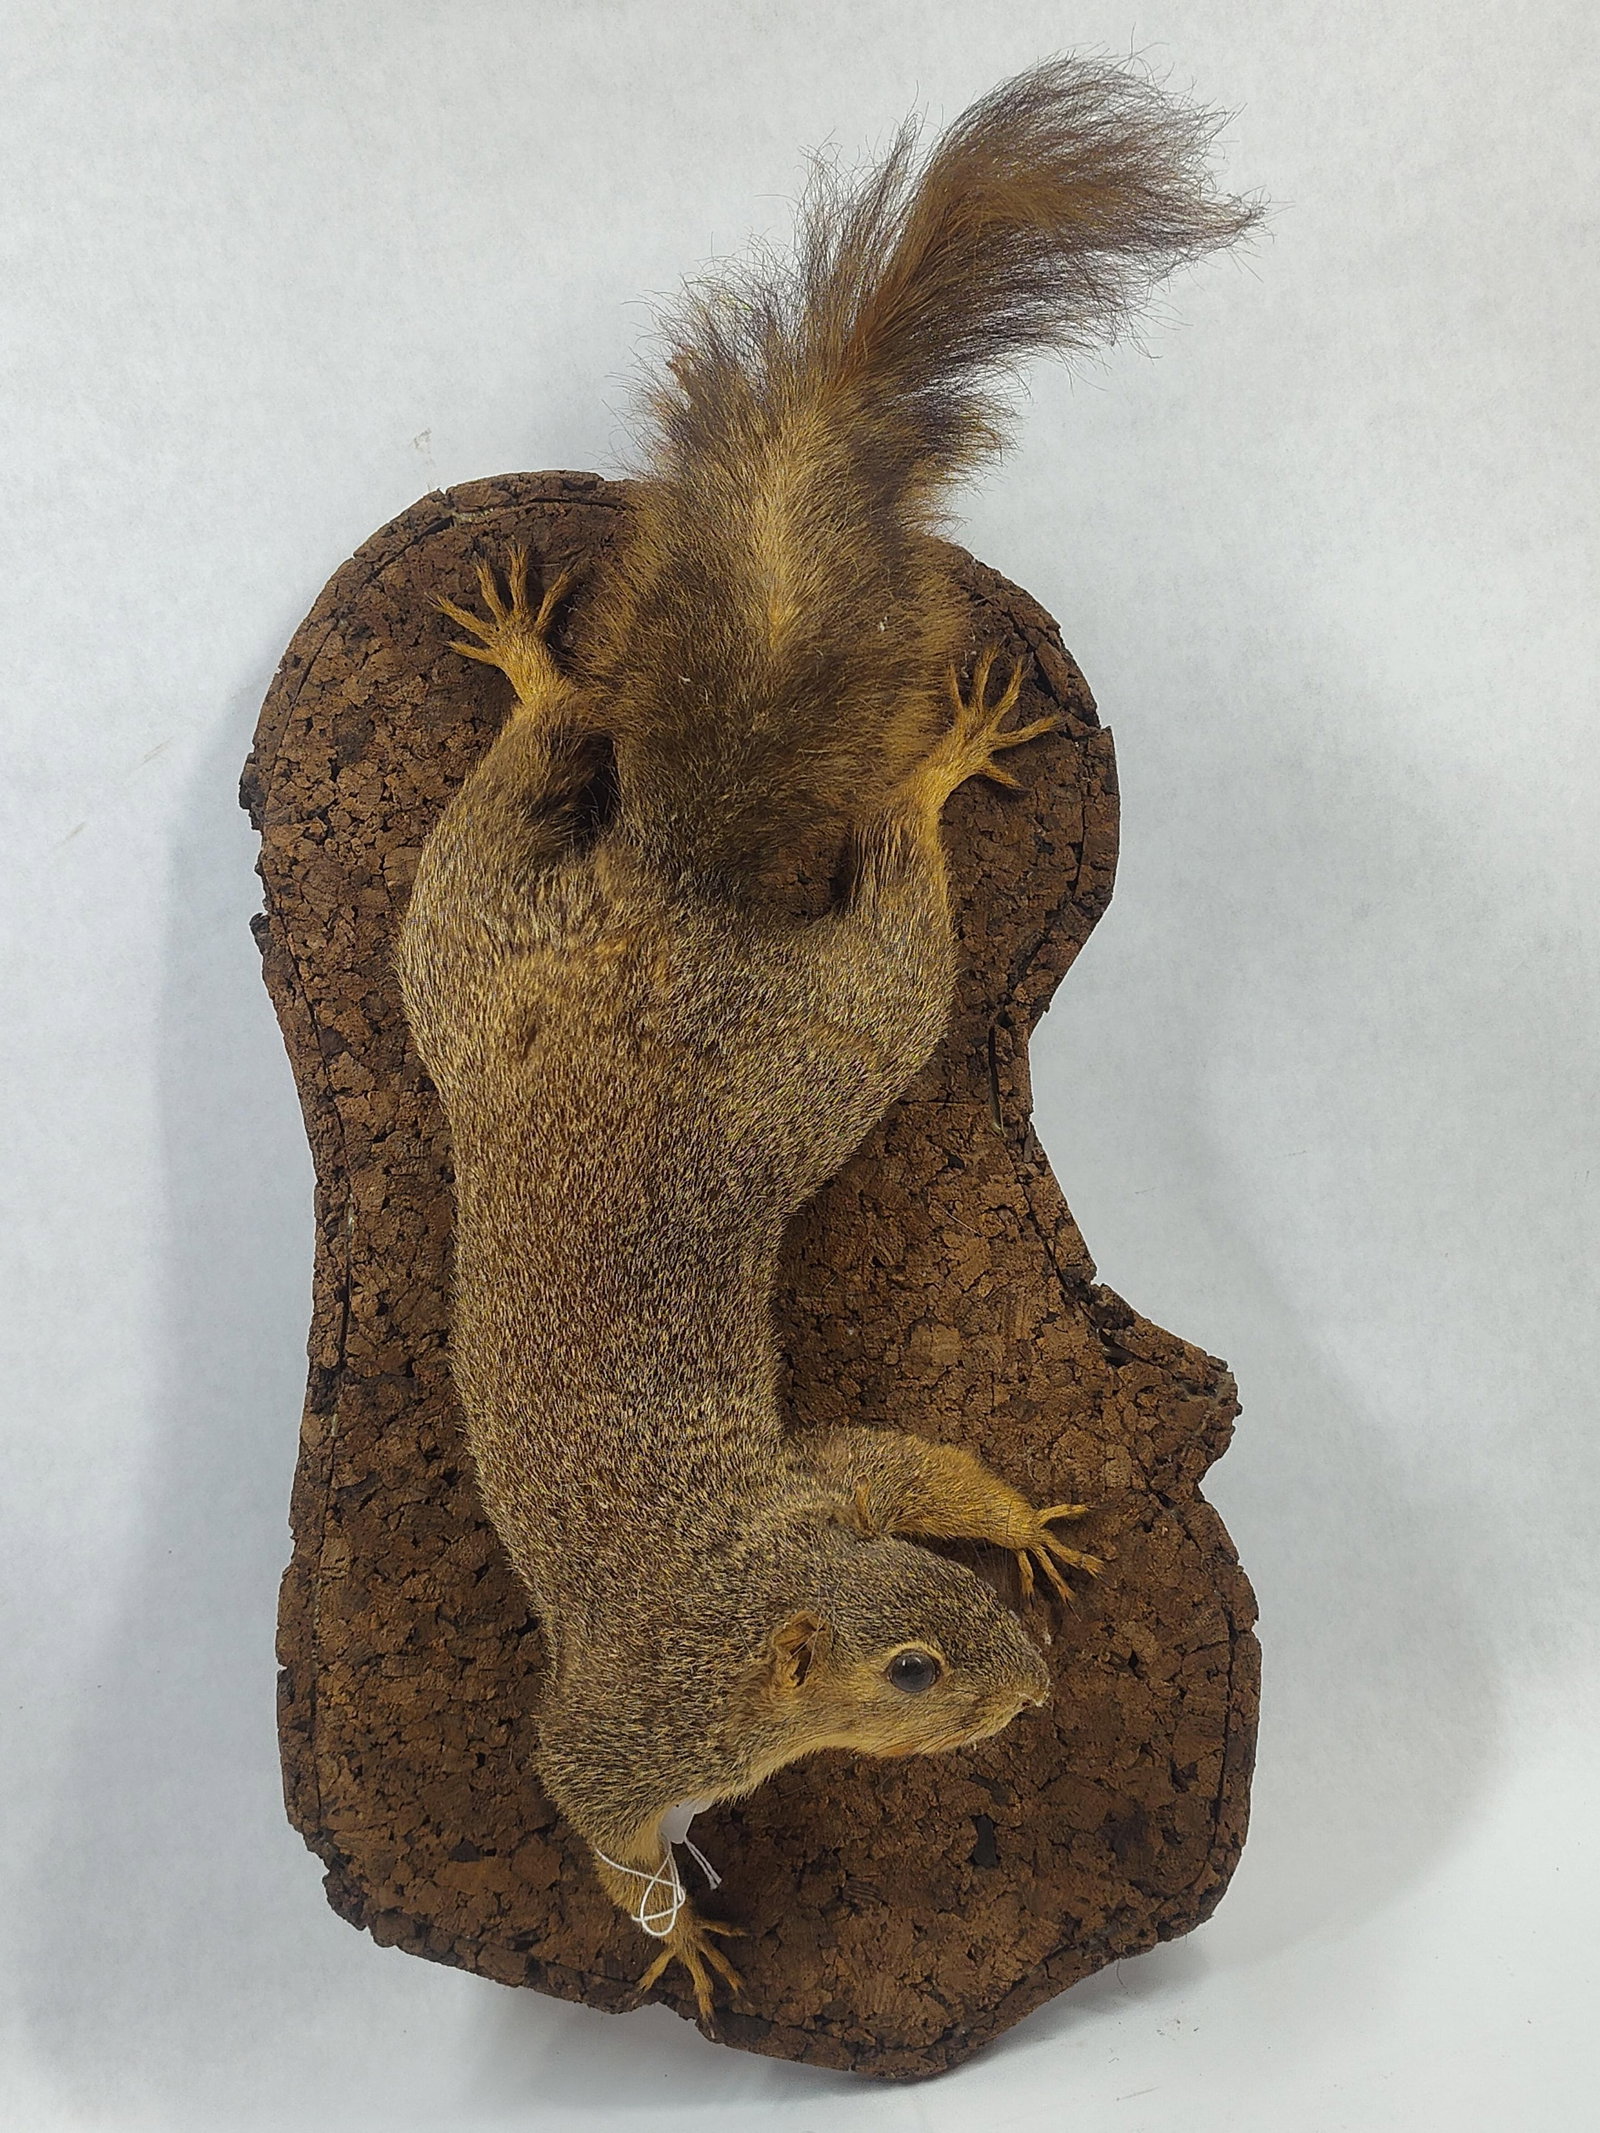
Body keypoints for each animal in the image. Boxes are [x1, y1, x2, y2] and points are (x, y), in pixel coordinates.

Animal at [394, 57, 1257, 2020]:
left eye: (960, 1605)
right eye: (914, 1677)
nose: (1038, 1686)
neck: (750, 1600)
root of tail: (682, 891)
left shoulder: (833, 1480)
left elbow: (912, 1453)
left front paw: (1025, 1517)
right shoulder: (632, 1728)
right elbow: (596, 1821)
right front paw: (687, 1937)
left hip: (552, 976)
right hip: (623, 984)